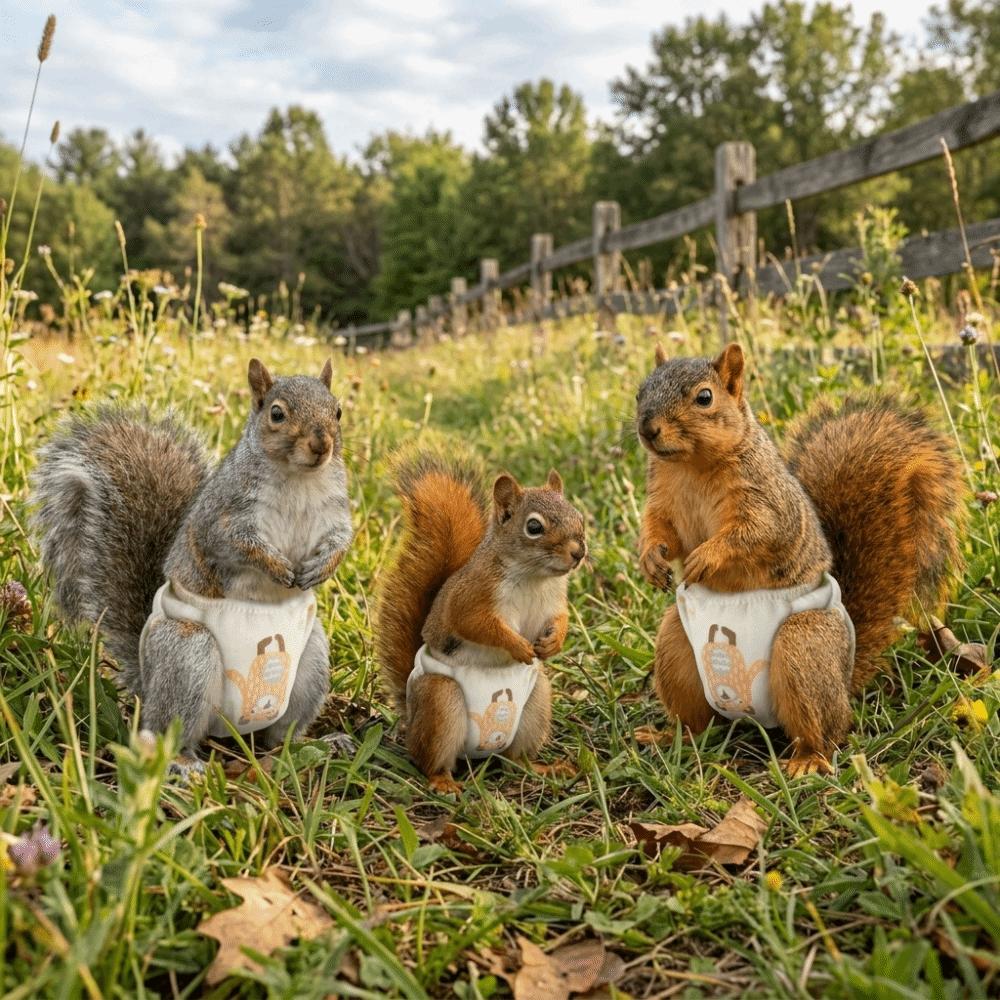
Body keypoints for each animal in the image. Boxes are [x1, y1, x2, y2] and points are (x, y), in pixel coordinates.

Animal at [32, 358, 353, 775]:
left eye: (338, 411)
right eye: (277, 413)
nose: (321, 445)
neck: (300, 478)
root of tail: (147, 682)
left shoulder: (334, 515)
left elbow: (340, 541)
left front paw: (323, 568)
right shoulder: (221, 518)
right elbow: (237, 545)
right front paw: (276, 566)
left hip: (309, 659)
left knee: (278, 737)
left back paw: (318, 744)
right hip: (188, 655)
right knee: (166, 732)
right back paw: (185, 763)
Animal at [376, 451, 586, 794]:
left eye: (579, 516)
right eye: (533, 526)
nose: (579, 552)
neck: (534, 578)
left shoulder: (555, 601)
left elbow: (561, 618)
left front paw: (554, 641)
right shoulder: (471, 598)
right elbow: (478, 625)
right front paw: (517, 646)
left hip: (536, 700)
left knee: (515, 760)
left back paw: (543, 769)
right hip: (440, 700)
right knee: (429, 760)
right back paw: (442, 781)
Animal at [636, 342, 964, 776]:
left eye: (704, 397)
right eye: (640, 391)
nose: (647, 428)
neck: (690, 466)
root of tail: (845, 676)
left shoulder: (768, 505)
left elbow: (753, 534)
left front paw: (707, 556)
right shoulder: (663, 501)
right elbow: (660, 531)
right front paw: (649, 559)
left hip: (803, 647)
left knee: (826, 730)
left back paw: (808, 760)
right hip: (677, 644)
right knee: (699, 721)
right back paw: (669, 738)